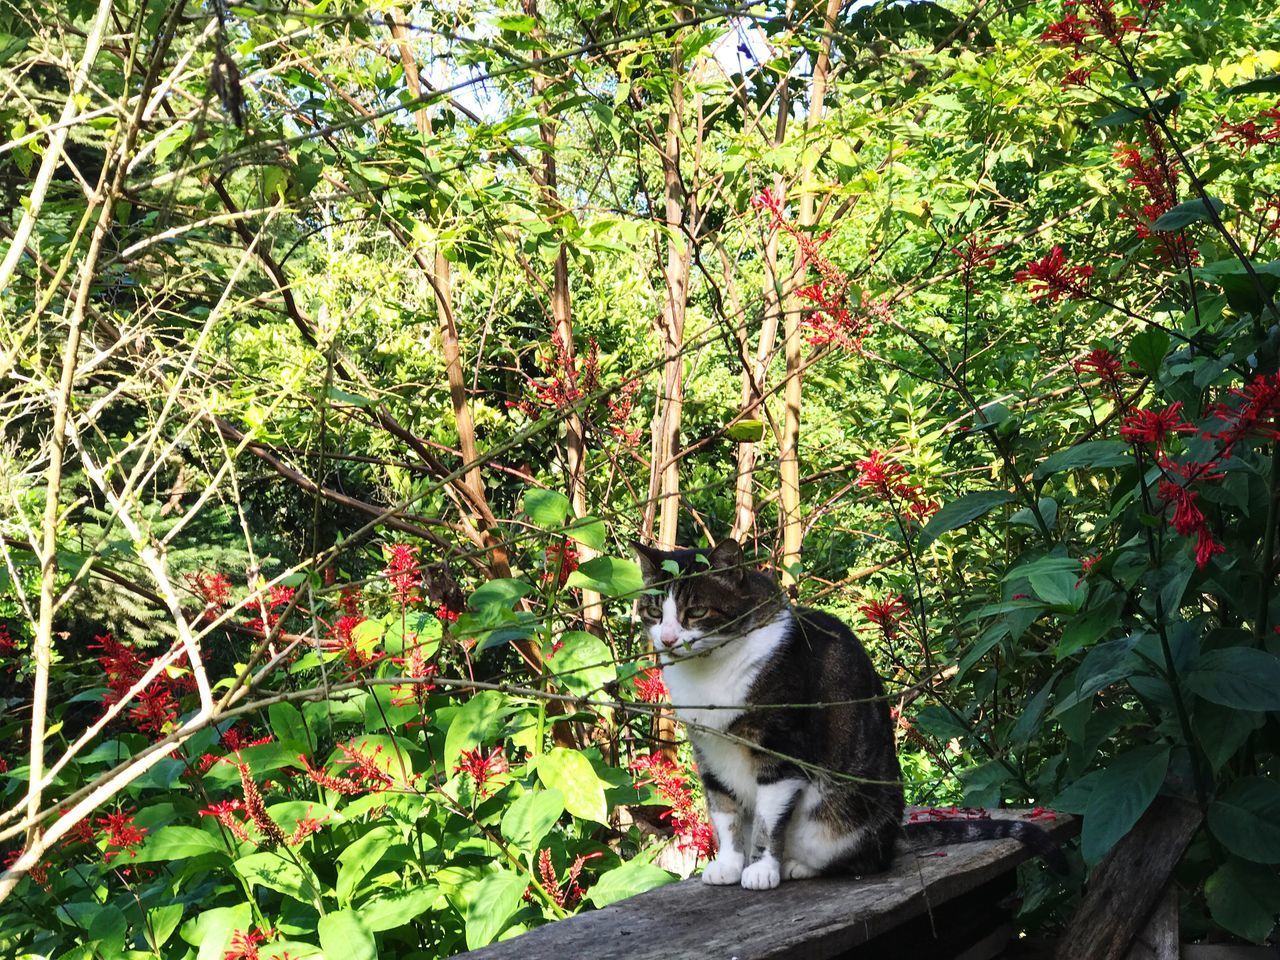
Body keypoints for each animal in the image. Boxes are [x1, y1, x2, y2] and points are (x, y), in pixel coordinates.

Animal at [629, 542, 1059, 896]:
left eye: (696, 611)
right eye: (653, 611)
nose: (667, 639)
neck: (708, 676)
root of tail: (893, 836)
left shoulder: (783, 746)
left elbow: (768, 819)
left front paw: (761, 869)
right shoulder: (709, 750)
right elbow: (725, 812)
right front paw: (730, 866)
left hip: (842, 820)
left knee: (864, 861)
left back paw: (796, 866)